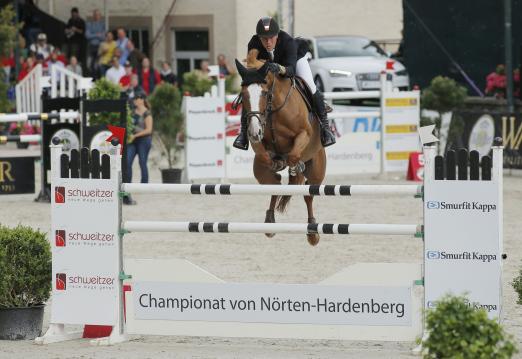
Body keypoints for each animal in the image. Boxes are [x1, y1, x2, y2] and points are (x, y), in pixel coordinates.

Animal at [235, 52, 324, 246]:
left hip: (317, 171)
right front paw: (276, 163)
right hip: (259, 171)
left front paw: (294, 166)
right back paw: (269, 222)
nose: (254, 132)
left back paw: (313, 232)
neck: (274, 109)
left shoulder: (303, 133)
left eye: (264, 92)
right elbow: (265, 156)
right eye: (243, 95)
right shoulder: (258, 141)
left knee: (308, 192)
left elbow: (293, 156)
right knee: (274, 185)